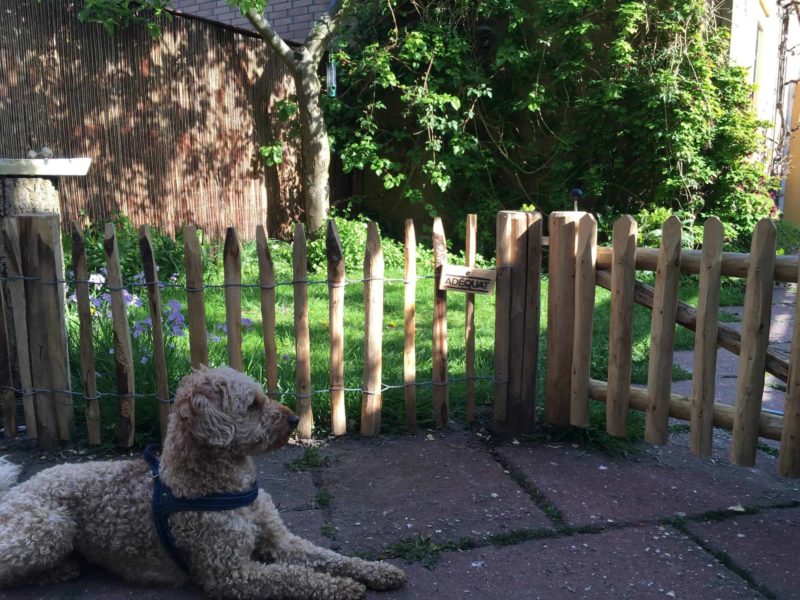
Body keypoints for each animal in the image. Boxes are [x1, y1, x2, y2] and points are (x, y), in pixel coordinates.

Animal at [0, 364, 406, 596]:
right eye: (253, 404)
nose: (294, 420)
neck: (223, 486)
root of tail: (16, 490)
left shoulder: (282, 540)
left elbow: (330, 557)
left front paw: (376, 571)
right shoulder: (232, 572)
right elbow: (295, 577)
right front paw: (343, 587)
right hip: (49, 529)